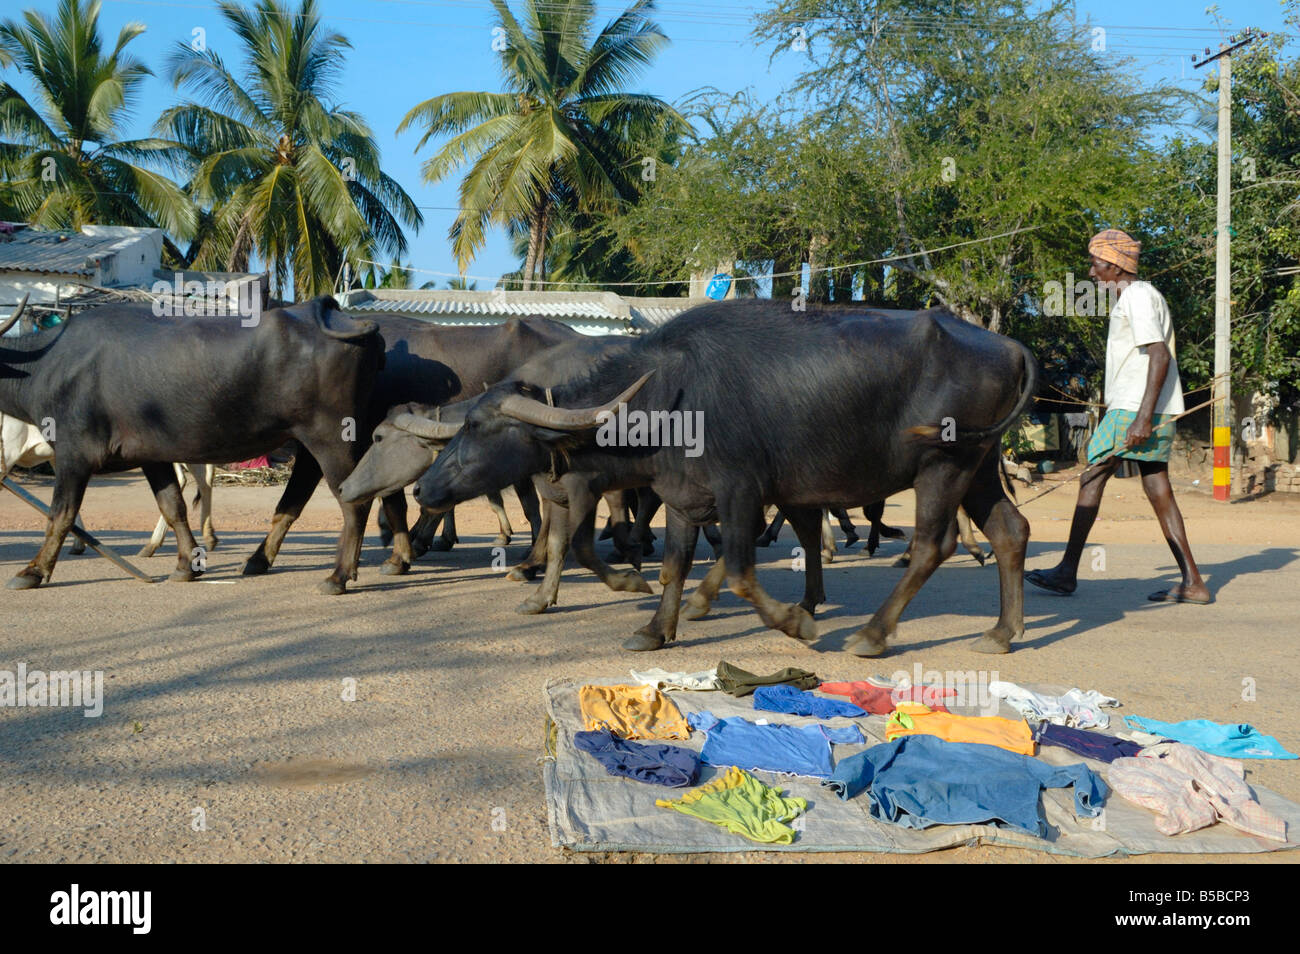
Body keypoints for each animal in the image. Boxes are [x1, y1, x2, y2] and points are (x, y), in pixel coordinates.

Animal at [0, 295, 384, 595]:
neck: (44, 363)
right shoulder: (150, 456)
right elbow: (173, 506)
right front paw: (187, 564)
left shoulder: (73, 454)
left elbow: (60, 514)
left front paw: (33, 571)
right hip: (311, 444)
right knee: (300, 497)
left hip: (331, 439)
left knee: (355, 502)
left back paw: (338, 576)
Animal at [413, 302, 1034, 655]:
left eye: (477, 426)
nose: (423, 488)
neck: (670, 399)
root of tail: (1008, 345)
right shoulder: (682, 499)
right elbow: (672, 567)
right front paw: (655, 630)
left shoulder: (741, 493)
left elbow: (737, 571)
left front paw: (795, 624)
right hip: (979, 464)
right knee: (1010, 531)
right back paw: (1002, 632)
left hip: (943, 465)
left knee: (933, 544)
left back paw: (871, 634)